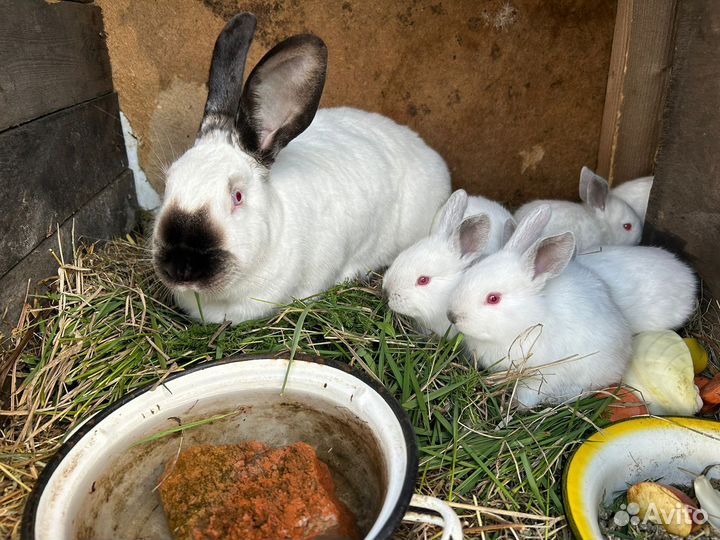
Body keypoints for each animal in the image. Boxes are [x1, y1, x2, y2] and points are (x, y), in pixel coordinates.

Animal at [447, 205, 632, 408]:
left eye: (493, 298)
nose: (452, 316)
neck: (527, 320)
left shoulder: (541, 376)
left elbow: (527, 396)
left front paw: (514, 407)